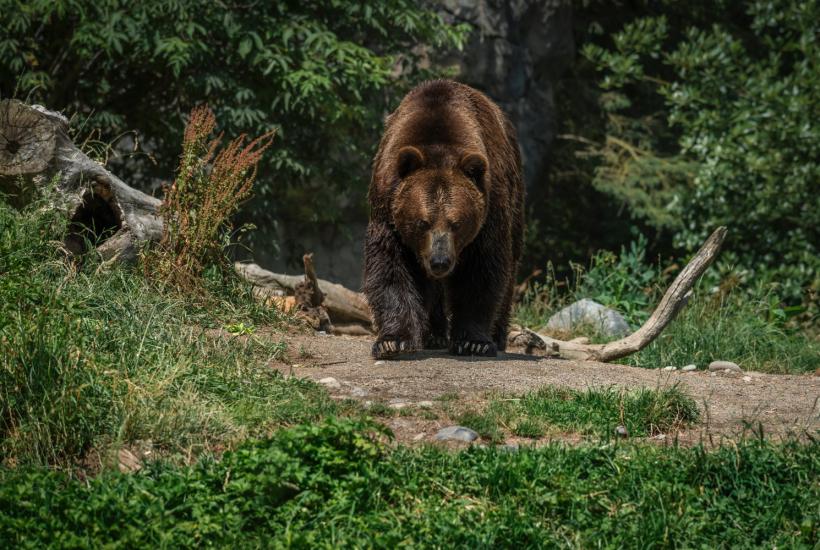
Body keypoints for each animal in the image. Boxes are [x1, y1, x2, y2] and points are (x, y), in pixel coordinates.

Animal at [363, 79, 524, 359]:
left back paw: (496, 336)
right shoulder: (387, 205)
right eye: (422, 222)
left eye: (457, 223)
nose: (440, 261)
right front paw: (393, 341)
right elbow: (390, 266)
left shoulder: (490, 208)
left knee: (509, 269)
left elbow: (482, 270)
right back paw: (433, 334)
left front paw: (474, 342)